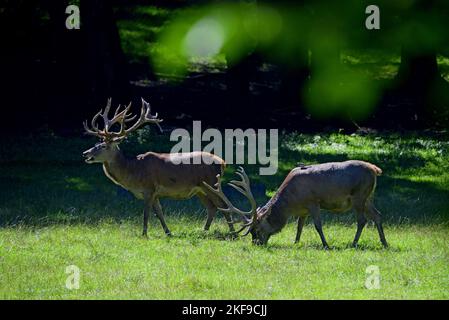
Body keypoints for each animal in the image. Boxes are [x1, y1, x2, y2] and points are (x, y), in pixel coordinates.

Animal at [82, 99, 234, 236]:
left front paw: (144, 234)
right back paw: (204, 230)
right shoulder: (155, 193)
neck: (133, 172)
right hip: (200, 189)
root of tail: (223, 162)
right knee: (212, 207)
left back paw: (233, 233)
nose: (85, 153)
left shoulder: (149, 188)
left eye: (103, 146)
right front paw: (168, 232)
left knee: (223, 206)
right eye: (96, 144)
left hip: (211, 183)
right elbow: (159, 213)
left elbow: (146, 214)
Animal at [205, 162, 386, 248]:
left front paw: (326, 244)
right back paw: (384, 243)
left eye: (257, 230)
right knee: (377, 215)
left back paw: (354, 243)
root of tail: (375, 169)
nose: (256, 243)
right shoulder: (303, 209)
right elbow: (299, 227)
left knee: (362, 220)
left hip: (359, 196)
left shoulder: (313, 201)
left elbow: (318, 225)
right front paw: (296, 243)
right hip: (368, 197)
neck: (291, 202)